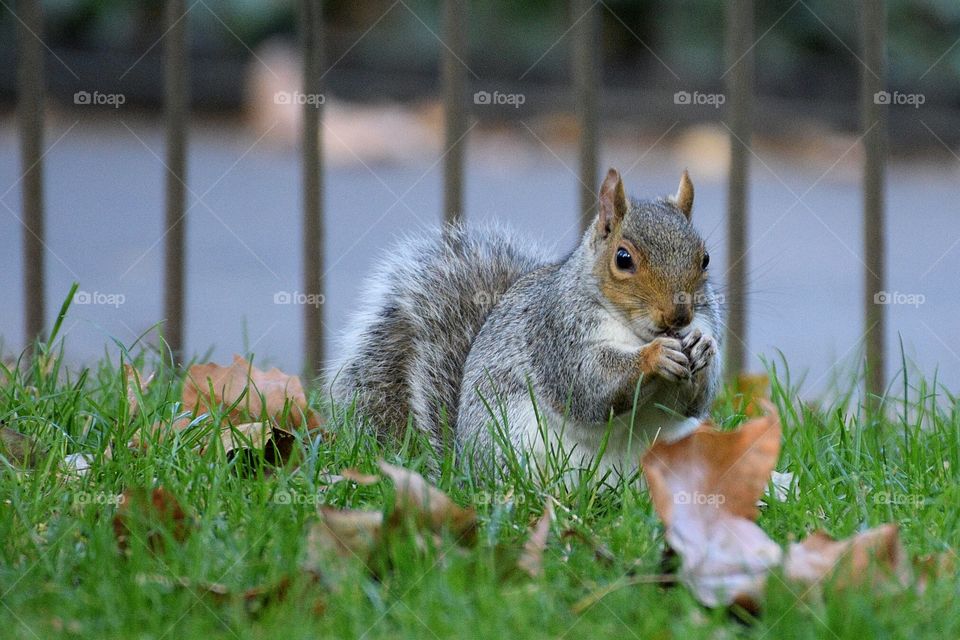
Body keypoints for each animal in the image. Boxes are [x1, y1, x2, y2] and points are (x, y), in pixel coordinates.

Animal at [330, 168, 722, 476]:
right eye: (623, 258)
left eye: (704, 258)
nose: (679, 316)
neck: (633, 330)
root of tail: (464, 464)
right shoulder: (556, 333)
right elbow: (589, 384)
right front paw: (655, 356)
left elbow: (692, 403)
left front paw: (703, 350)